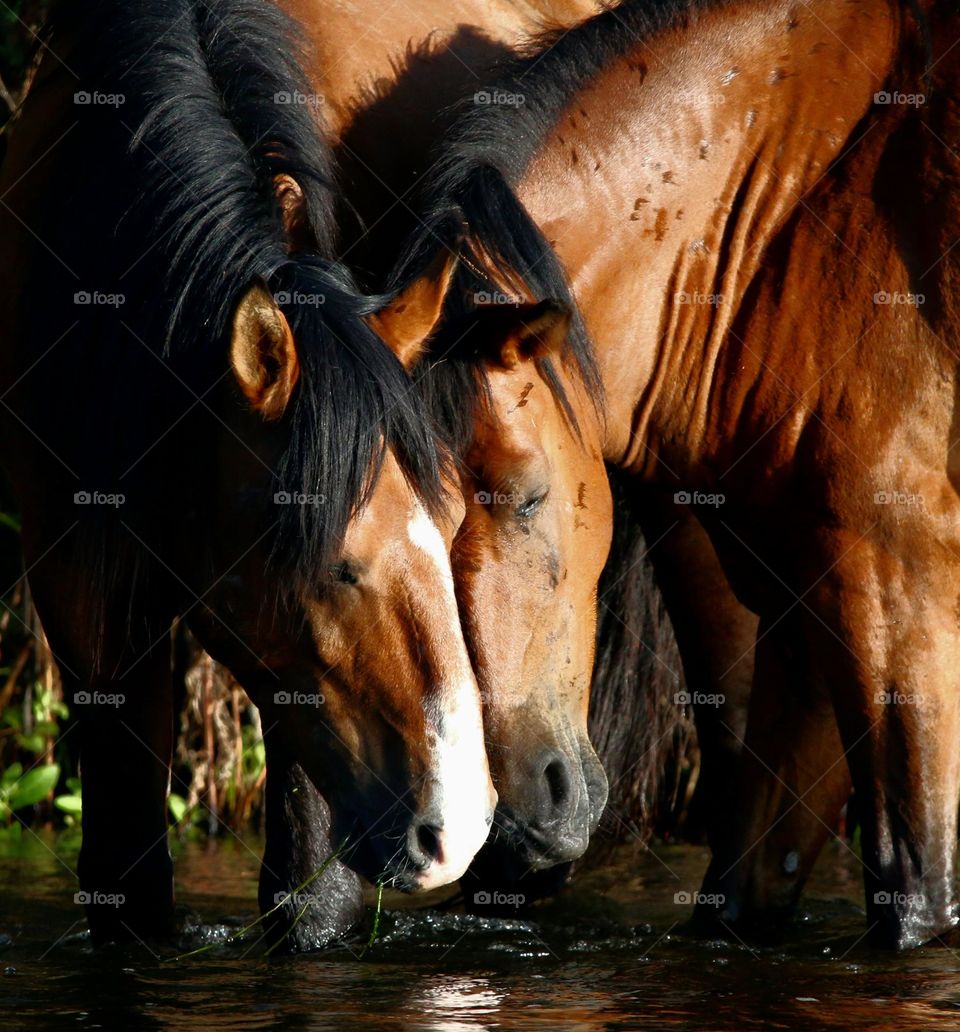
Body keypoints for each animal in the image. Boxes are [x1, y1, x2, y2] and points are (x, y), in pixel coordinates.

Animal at [379, 0, 960, 950]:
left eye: (530, 495)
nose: (515, 829)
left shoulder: (901, 591)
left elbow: (916, 890)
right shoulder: (810, 603)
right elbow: (747, 886)